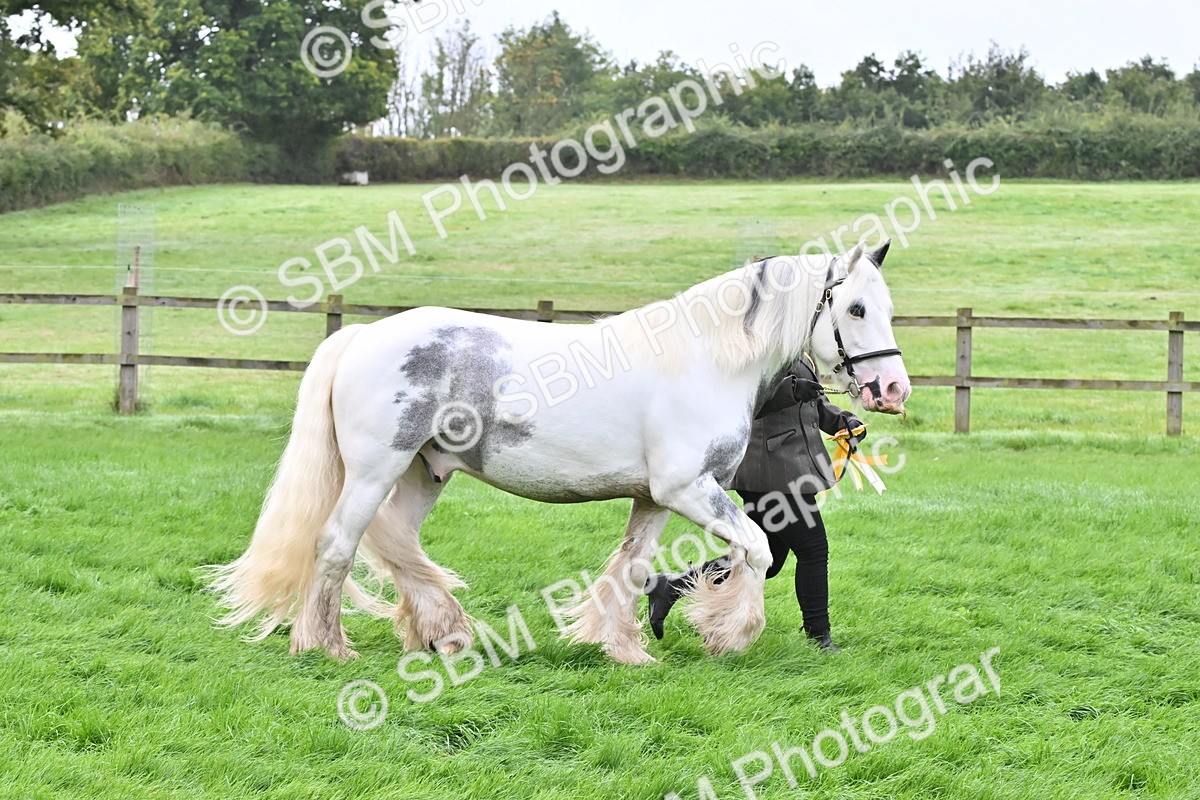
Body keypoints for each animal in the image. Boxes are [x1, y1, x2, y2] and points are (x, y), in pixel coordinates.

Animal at [206, 240, 911, 665]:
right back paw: (326, 646)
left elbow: (633, 568)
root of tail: (359, 336)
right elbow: (758, 549)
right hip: (375, 470)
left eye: (887, 307)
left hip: (424, 474)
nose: (892, 389)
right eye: (854, 308)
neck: (707, 361)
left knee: (397, 545)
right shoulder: (689, 490)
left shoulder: (658, 498)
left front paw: (624, 648)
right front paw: (728, 633)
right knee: (335, 547)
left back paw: (445, 633)